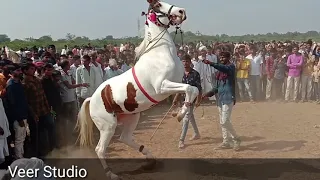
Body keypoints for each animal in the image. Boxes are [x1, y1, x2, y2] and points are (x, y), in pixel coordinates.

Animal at [76, 0, 199, 179]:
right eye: (158, 5)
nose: (181, 11)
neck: (160, 53)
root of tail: (92, 99)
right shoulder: (162, 86)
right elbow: (190, 88)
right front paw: (180, 114)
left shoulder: (175, 83)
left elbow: (192, 89)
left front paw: (180, 112)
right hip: (108, 126)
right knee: (100, 149)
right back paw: (111, 174)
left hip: (132, 117)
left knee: (125, 138)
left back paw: (150, 158)